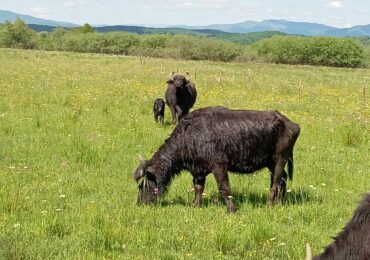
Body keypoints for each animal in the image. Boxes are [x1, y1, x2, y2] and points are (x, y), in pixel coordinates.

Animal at [133, 106, 300, 212]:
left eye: (143, 185)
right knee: (283, 179)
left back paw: (269, 204)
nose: (139, 203)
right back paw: (280, 202)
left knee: (276, 183)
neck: (190, 135)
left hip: (280, 159)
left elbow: (224, 189)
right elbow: (198, 188)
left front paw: (232, 209)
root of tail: (291, 123)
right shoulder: (198, 171)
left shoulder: (219, 166)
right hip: (271, 163)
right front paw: (195, 205)